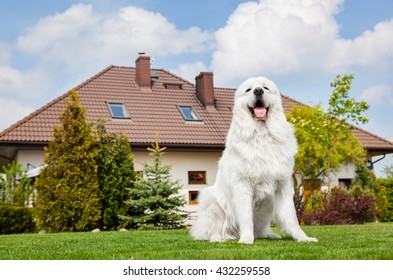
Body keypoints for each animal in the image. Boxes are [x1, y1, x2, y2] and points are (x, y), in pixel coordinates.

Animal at [190, 76, 316, 243]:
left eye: (265, 87)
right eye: (248, 90)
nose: (258, 91)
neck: (261, 134)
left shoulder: (283, 186)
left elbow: (291, 217)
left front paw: (302, 238)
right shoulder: (243, 186)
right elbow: (246, 218)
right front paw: (246, 240)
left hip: (267, 206)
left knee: (259, 230)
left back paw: (268, 235)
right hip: (211, 201)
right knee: (211, 231)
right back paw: (218, 238)